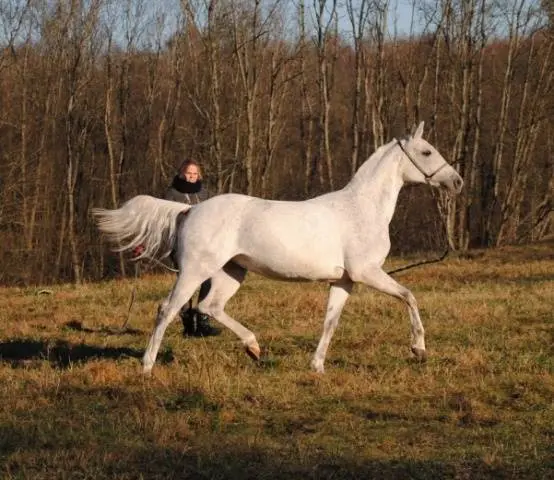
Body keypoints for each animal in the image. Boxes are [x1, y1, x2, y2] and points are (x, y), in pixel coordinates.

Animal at [94, 122, 462, 374]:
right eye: (427, 151)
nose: (456, 182)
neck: (361, 209)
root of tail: (190, 210)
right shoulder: (368, 273)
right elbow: (409, 296)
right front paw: (419, 349)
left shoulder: (344, 281)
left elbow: (331, 322)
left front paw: (317, 366)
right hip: (195, 272)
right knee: (168, 309)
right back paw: (147, 365)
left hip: (231, 272)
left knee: (210, 306)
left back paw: (254, 348)